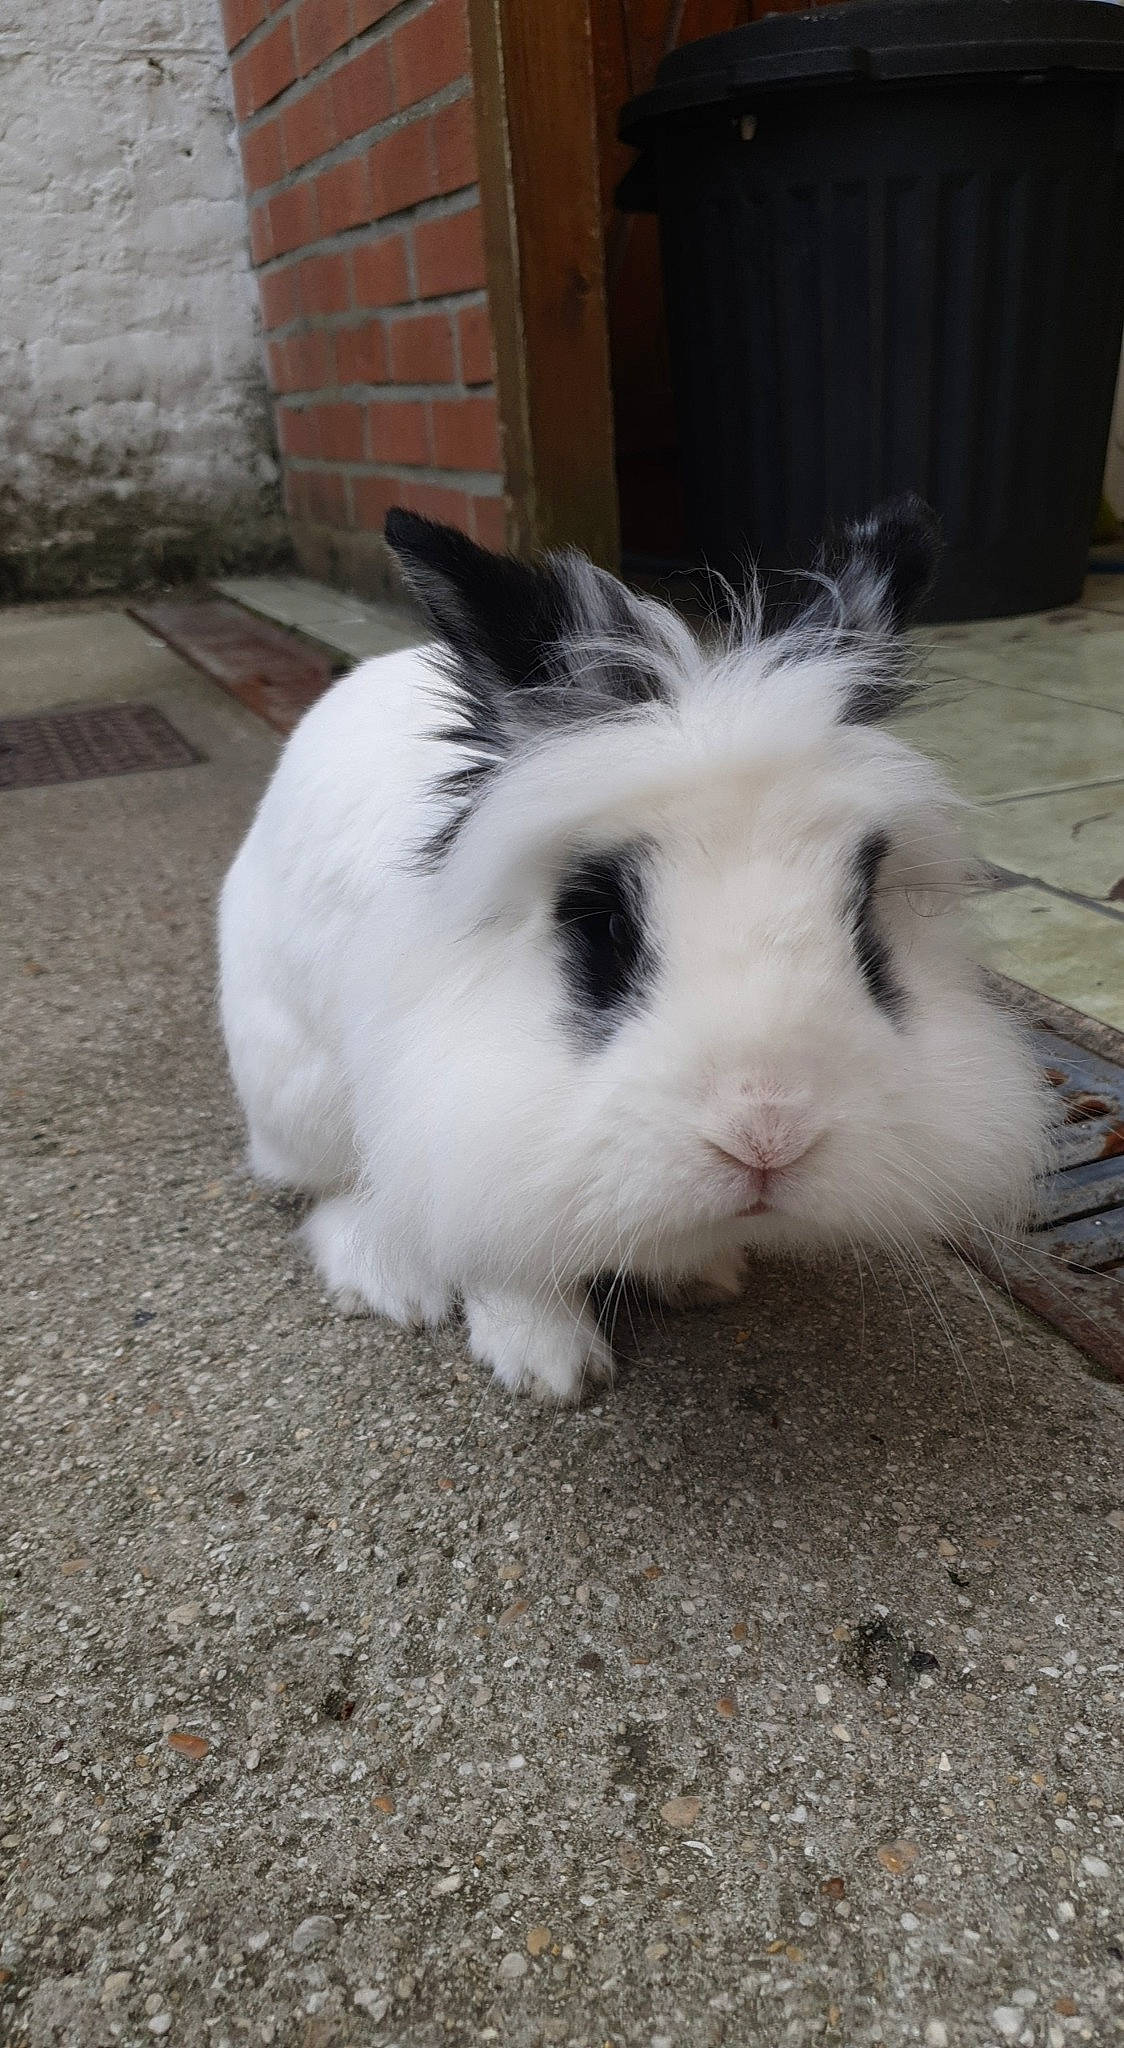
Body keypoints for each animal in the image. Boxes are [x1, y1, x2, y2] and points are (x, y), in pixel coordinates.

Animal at [218, 497, 1052, 1403]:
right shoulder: (464, 1126)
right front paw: (548, 1366)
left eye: (865, 920)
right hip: (300, 1088)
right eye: (605, 925)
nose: (768, 1137)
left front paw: (700, 1274)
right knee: (328, 1193)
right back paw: (391, 1280)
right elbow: (502, 1248)